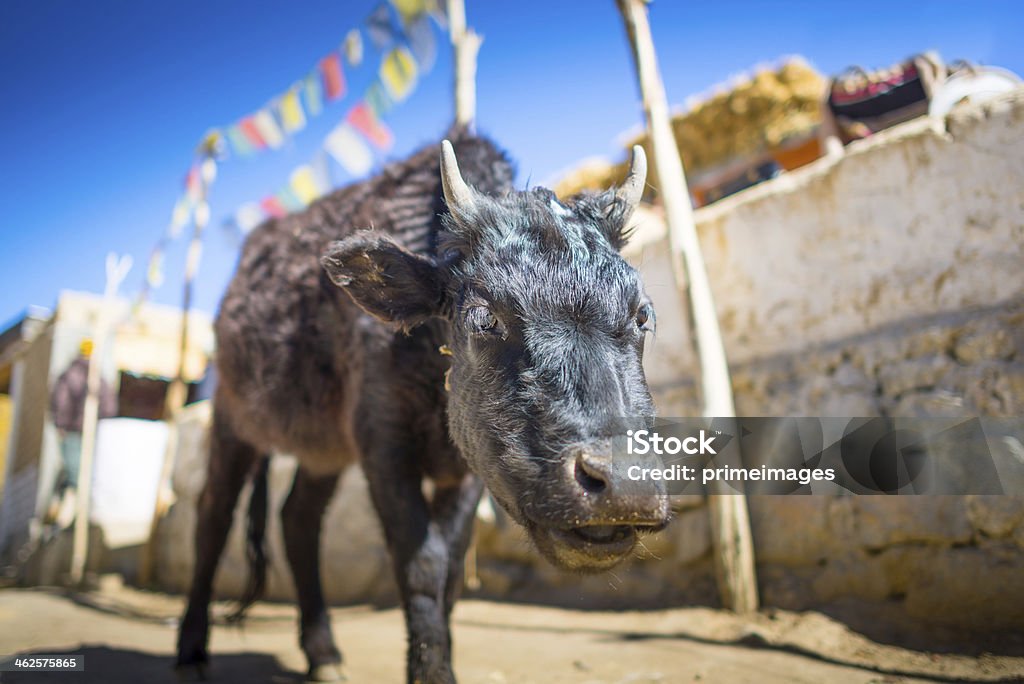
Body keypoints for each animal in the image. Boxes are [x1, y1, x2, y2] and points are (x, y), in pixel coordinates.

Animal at [176, 129, 671, 684]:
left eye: (643, 314)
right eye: (482, 316)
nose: (624, 487)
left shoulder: (470, 467)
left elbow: (451, 569)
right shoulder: (385, 447)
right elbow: (422, 565)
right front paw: (431, 670)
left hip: (323, 450)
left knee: (297, 518)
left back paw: (323, 653)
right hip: (230, 416)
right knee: (213, 517)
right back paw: (191, 650)